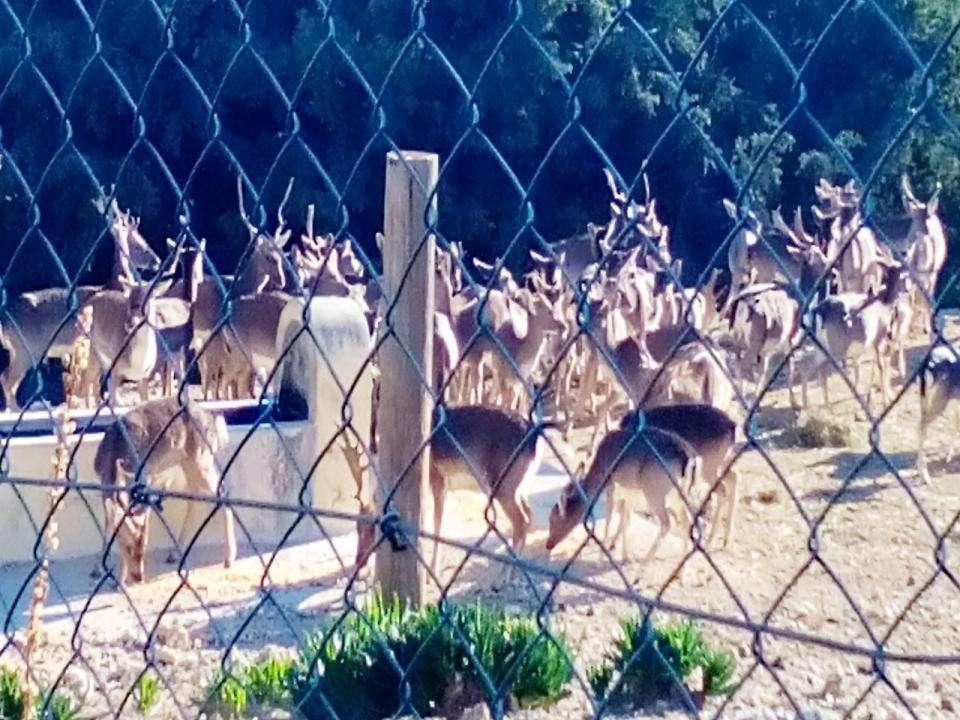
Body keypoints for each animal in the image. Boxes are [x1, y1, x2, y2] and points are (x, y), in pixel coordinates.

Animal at [94, 396, 236, 588]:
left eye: (144, 545)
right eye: (127, 547)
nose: (138, 577)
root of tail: (213, 417)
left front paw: (119, 581)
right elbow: (108, 523)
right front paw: (97, 570)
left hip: (201, 459)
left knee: (222, 492)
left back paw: (229, 559)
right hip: (188, 463)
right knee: (196, 500)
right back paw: (175, 554)